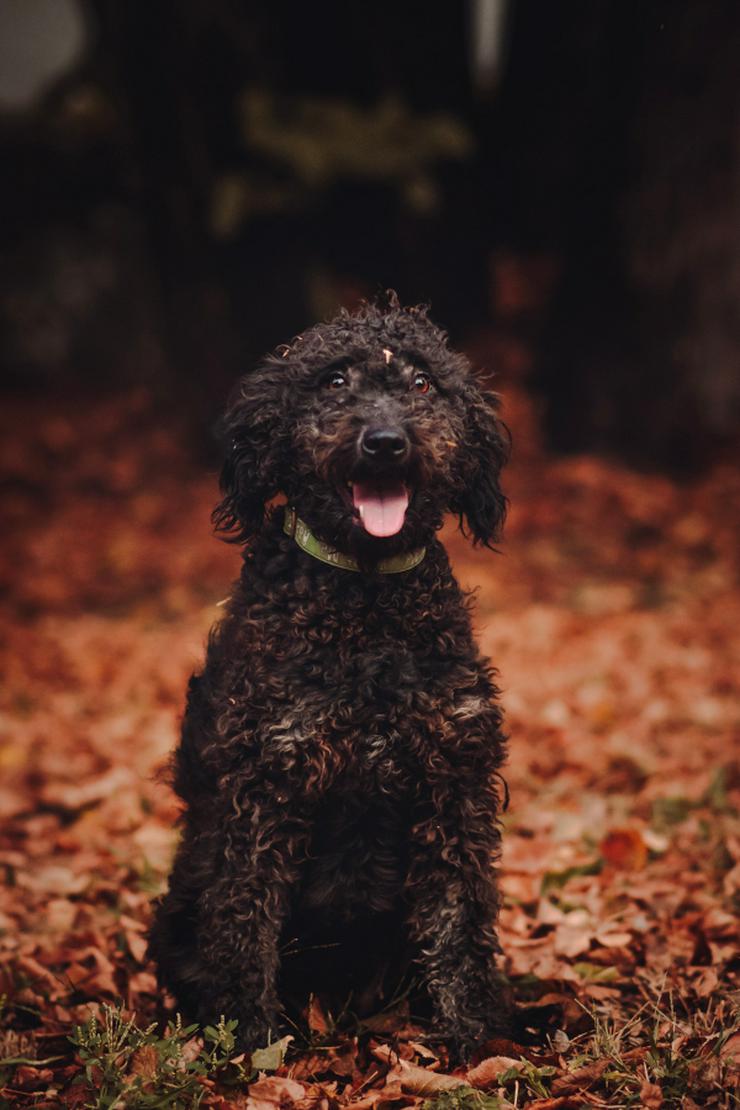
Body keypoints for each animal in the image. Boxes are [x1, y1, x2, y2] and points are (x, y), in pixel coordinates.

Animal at [148, 295, 510, 1056]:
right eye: (334, 382)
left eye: (424, 383)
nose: (386, 442)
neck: (365, 606)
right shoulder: (264, 789)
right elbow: (245, 927)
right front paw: (251, 1047)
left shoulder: (452, 785)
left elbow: (459, 925)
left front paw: (470, 1041)